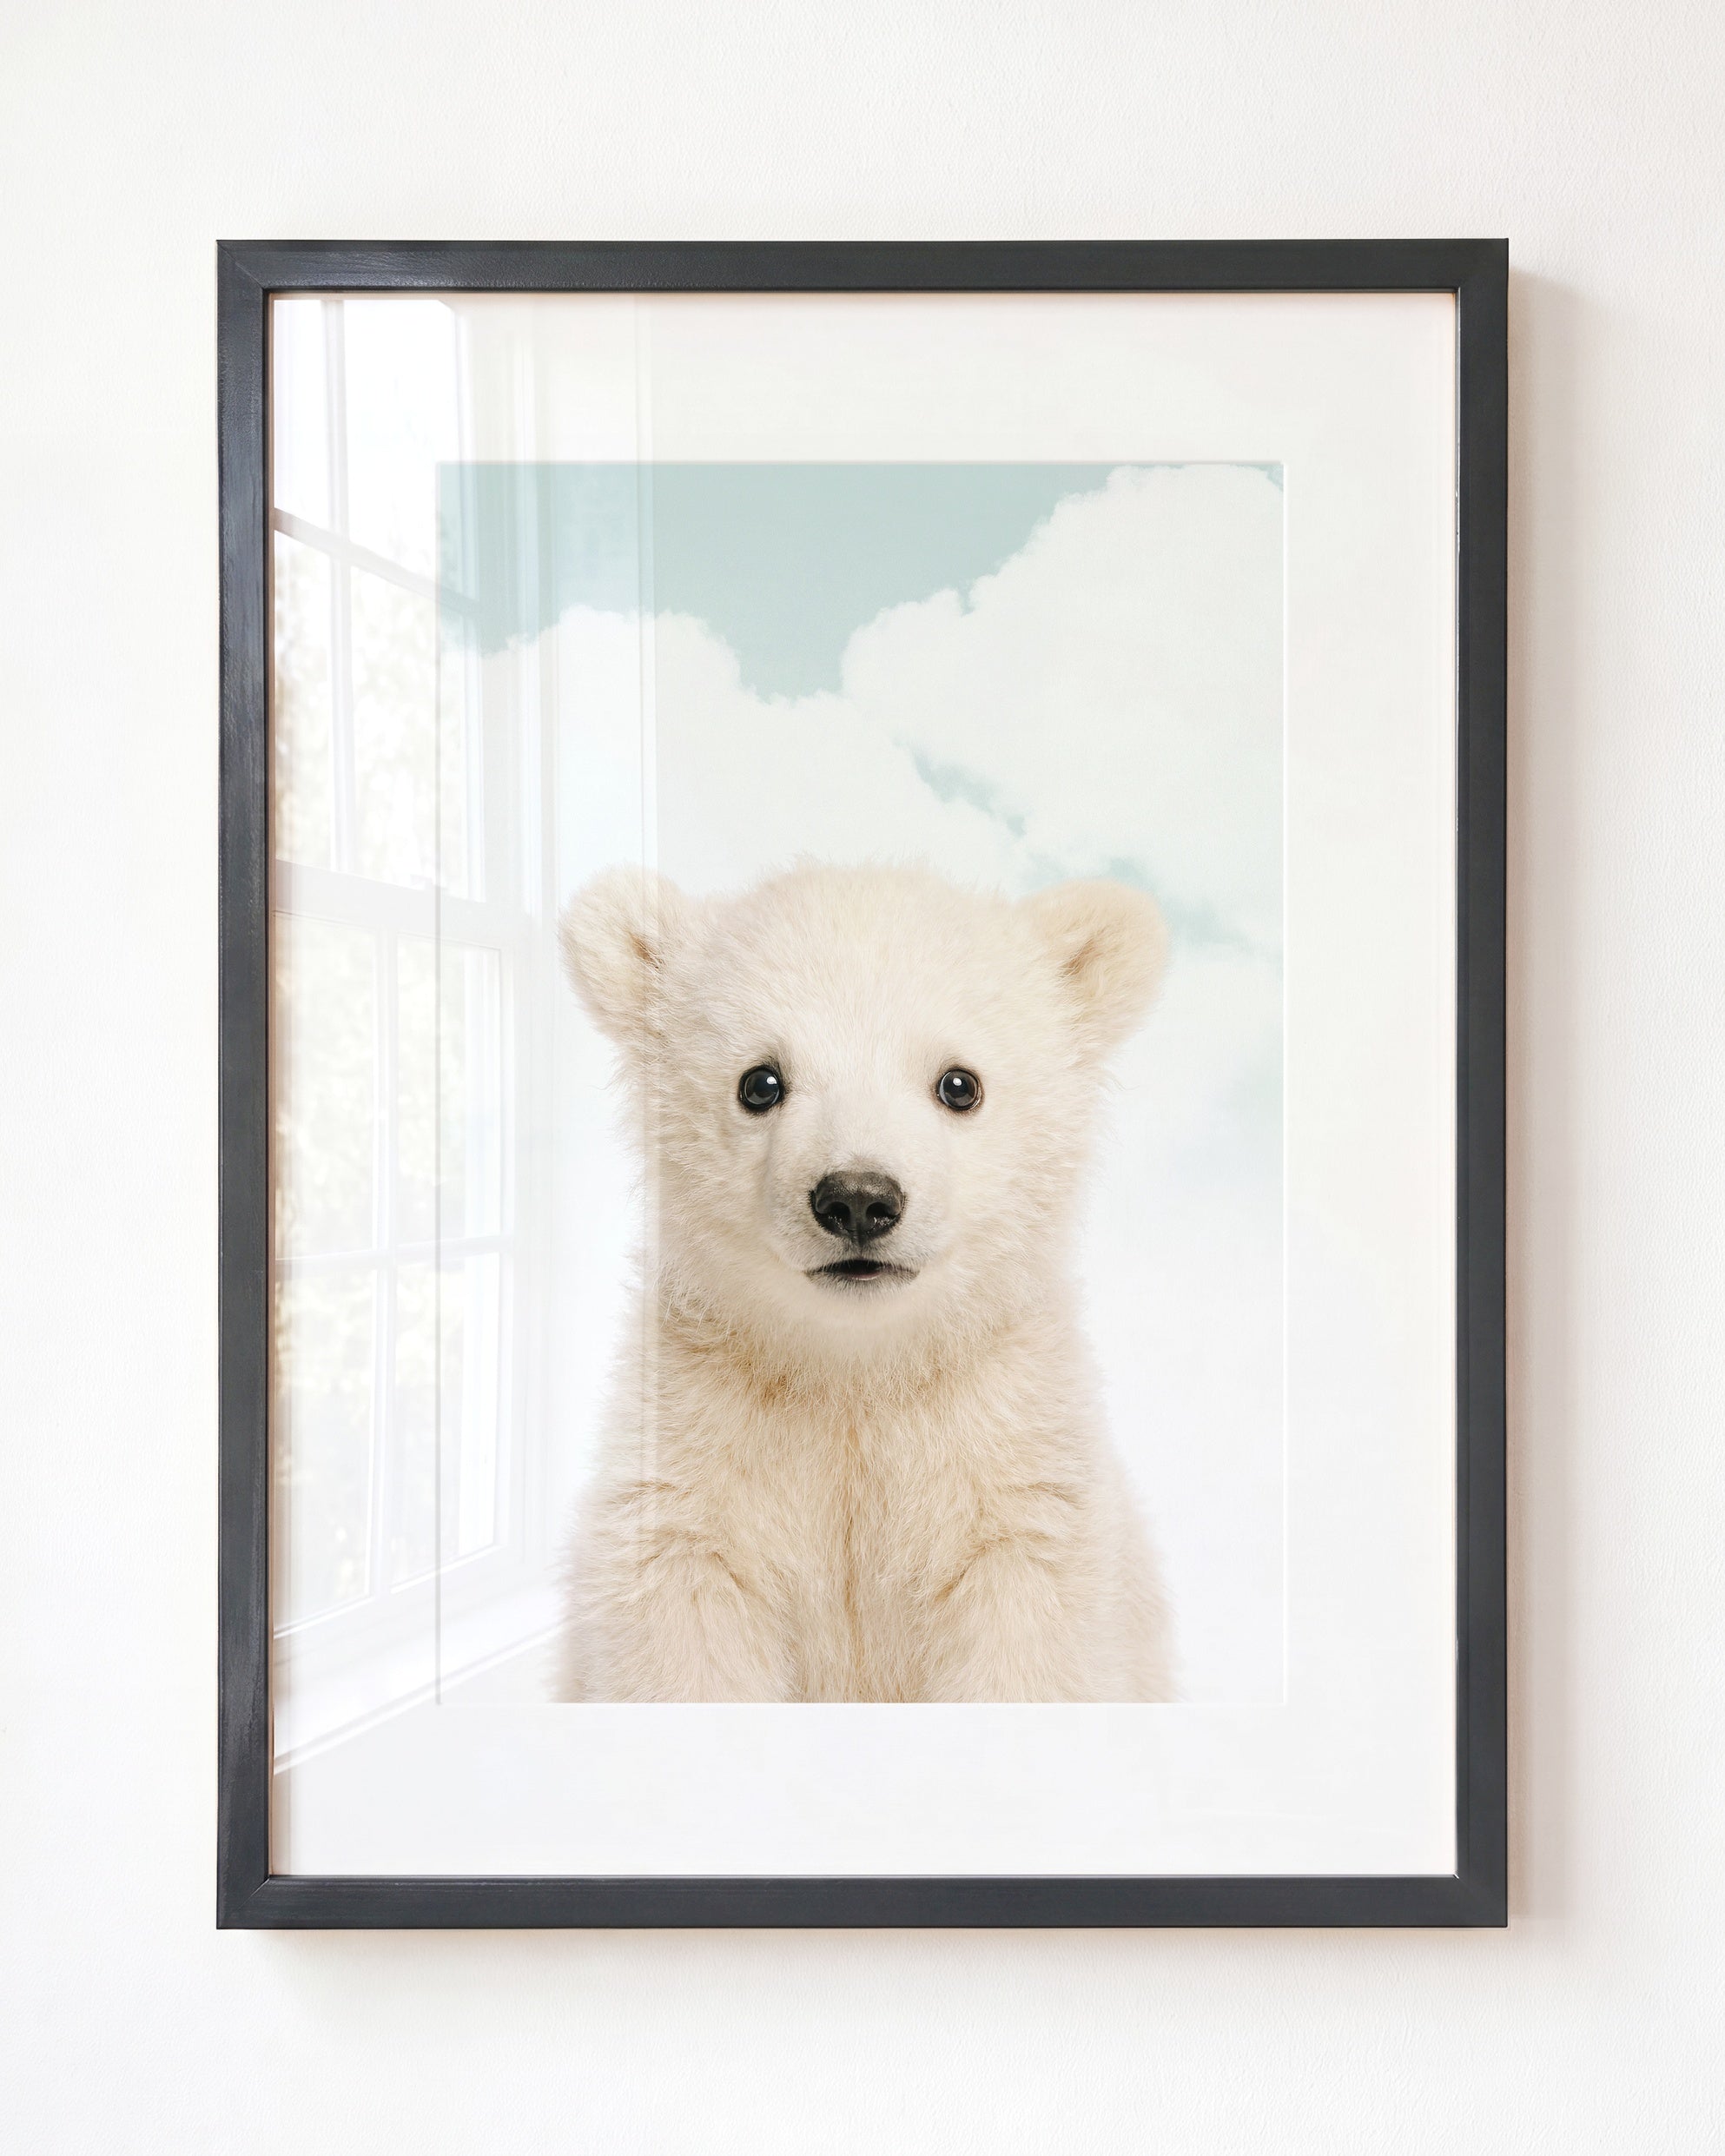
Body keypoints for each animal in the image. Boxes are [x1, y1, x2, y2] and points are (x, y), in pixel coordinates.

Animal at [553, 860, 1175, 1703]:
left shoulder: (1011, 1469)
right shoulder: (694, 1458)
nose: (857, 1198)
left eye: (959, 1084)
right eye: (760, 1082)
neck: (858, 1371)